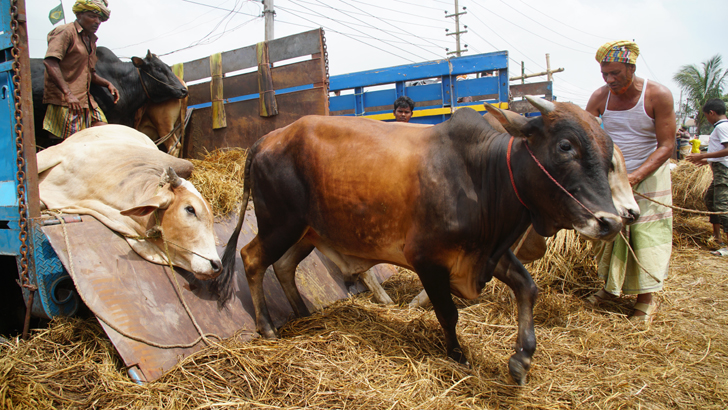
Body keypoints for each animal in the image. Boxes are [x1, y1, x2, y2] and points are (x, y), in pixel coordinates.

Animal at [213, 96, 624, 384]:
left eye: (608, 155)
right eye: (566, 146)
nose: (611, 221)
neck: (482, 174)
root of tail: (268, 137)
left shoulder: (488, 254)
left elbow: (527, 287)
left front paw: (521, 359)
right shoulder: (429, 259)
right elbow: (448, 312)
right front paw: (458, 356)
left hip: (307, 231)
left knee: (283, 266)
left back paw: (304, 313)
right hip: (280, 223)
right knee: (252, 258)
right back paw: (267, 327)